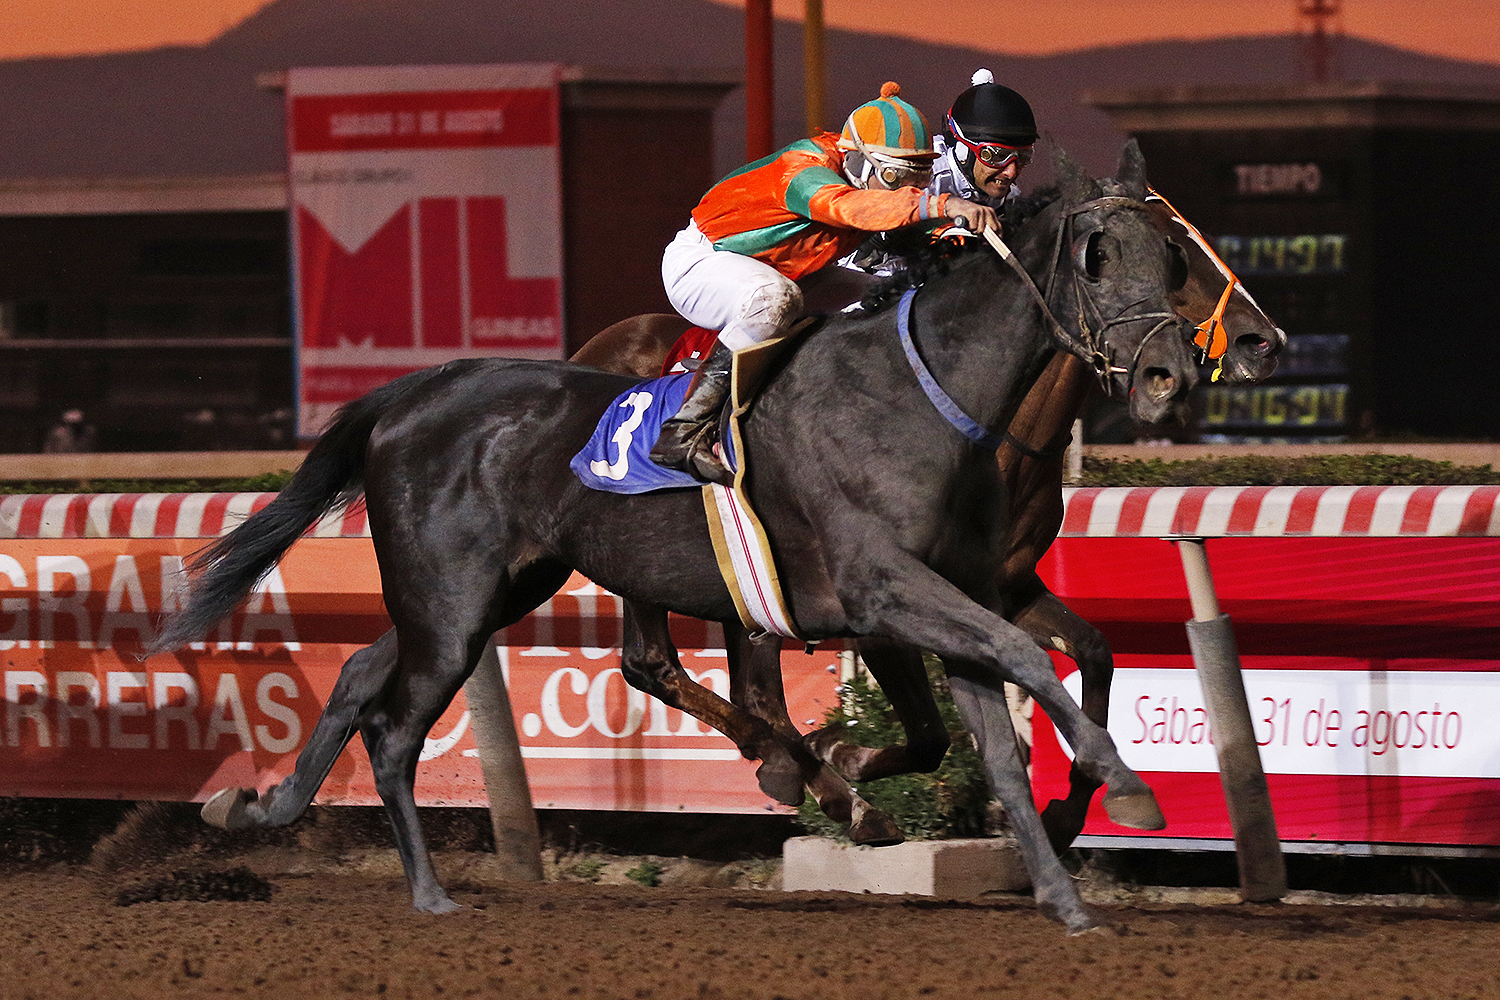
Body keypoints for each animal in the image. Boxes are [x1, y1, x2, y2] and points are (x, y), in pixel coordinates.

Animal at [152, 141, 1197, 932]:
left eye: (1177, 253)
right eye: (1098, 251)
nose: (1168, 376)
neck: (927, 389)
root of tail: (415, 391)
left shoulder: (959, 590)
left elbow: (1013, 717)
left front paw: (1065, 889)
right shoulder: (885, 591)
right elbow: (1018, 662)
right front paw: (1122, 787)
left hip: (493, 588)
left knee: (366, 671)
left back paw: (261, 803)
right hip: (453, 608)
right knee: (401, 726)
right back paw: (429, 893)